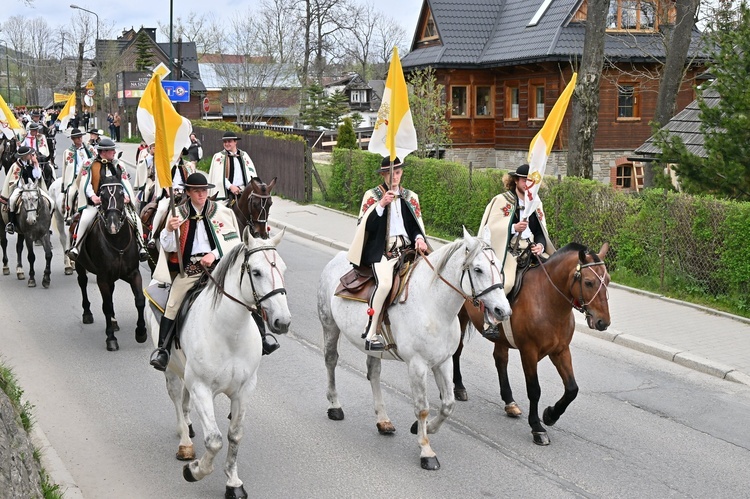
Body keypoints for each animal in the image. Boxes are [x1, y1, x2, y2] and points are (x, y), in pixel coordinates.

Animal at [74, 176, 148, 352]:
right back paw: (87, 313)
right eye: (102, 195)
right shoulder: (102, 278)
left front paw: (141, 333)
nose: (113, 225)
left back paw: (114, 322)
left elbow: (140, 300)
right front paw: (111, 339)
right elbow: (106, 306)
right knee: (83, 282)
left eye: (122, 193)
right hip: (80, 265)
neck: (117, 241)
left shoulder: (133, 273)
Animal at [147, 228, 290, 499]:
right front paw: (195, 471)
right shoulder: (202, 388)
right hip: (171, 369)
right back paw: (185, 442)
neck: (229, 333)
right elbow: (214, 440)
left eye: (283, 270)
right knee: (176, 398)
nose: (283, 321)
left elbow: (234, 437)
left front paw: (233, 482)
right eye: (256, 272)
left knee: (184, 401)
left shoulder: (244, 390)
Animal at [320, 229, 516, 470]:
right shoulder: (417, 365)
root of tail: (338, 257)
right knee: (331, 360)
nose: (503, 310)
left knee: (373, 374)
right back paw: (335, 406)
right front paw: (426, 450)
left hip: (374, 349)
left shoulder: (444, 361)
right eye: (478, 269)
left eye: (499, 268)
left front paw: (425, 428)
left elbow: (448, 404)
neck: (433, 306)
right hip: (329, 325)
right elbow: (422, 407)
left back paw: (383, 421)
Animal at [452, 242, 612, 446]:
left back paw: (509, 402)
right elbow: (534, 389)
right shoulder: (529, 352)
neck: (548, 301)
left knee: (500, 360)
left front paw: (551, 415)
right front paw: (537, 427)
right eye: (589, 282)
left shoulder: (561, 351)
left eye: (608, 280)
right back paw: (459, 387)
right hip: (460, 317)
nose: (603, 322)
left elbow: (572, 389)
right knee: (457, 350)